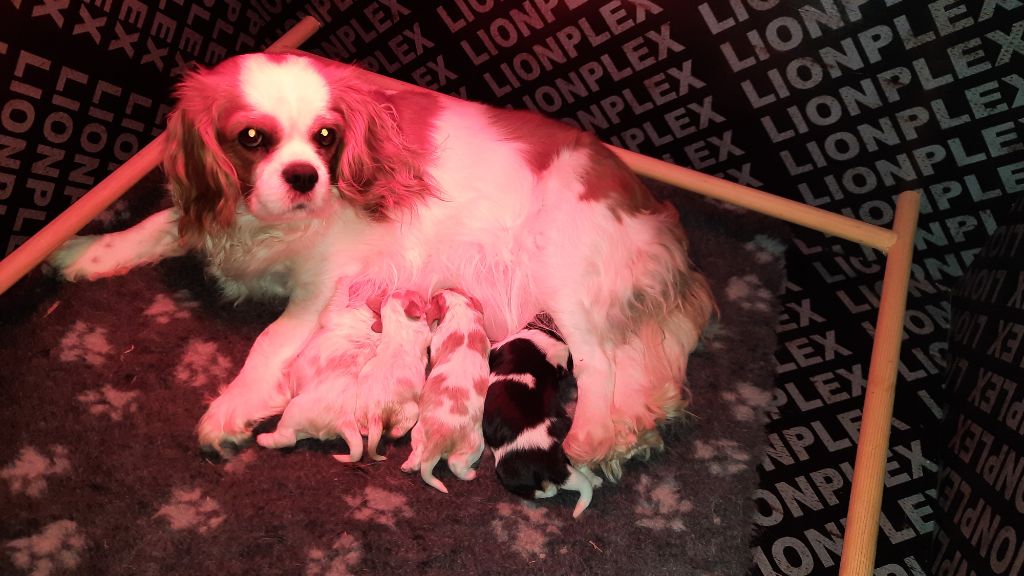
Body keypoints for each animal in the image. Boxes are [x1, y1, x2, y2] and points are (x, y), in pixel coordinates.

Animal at [256, 282, 380, 461]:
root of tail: (344, 420)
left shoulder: (335, 315)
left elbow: (335, 302)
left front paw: (344, 281)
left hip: (294, 411)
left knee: (286, 438)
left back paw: (263, 439)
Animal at [356, 289, 432, 459]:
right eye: (416, 296)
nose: (419, 292)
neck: (397, 321)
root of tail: (375, 413)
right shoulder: (425, 334)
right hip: (409, 413)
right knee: (396, 431)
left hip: (360, 412)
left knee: (363, 430)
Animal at [401, 289, 489, 491]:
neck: (460, 309)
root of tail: (438, 438)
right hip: (467, 444)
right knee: (451, 463)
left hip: (429, 435)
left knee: (430, 457)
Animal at [485, 323, 598, 516]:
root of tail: (550, 458)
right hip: (568, 443)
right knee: (579, 465)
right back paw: (596, 479)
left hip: (508, 474)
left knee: (541, 491)